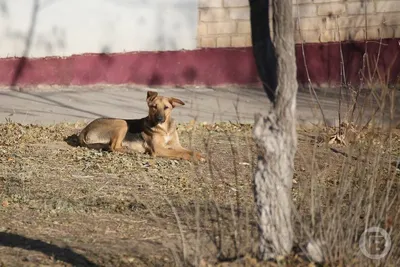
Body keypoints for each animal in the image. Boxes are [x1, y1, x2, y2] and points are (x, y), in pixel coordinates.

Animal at [77, 90, 205, 161]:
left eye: (166, 108)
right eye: (154, 107)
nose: (159, 119)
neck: (165, 129)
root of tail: (85, 129)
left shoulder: (177, 145)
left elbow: (190, 150)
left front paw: (200, 155)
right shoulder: (158, 149)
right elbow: (180, 153)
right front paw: (191, 158)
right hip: (122, 123)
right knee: (113, 147)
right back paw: (130, 151)